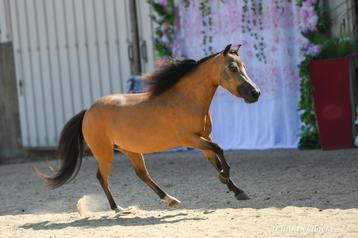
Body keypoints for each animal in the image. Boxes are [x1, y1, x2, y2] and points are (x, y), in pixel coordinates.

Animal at [36, 44, 260, 212]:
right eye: (233, 68)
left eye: (244, 66)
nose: (255, 93)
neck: (187, 100)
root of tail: (88, 111)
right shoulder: (191, 139)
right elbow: (220, 150)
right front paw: (224, 177)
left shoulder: (204, 138)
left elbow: (216, 159)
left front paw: (237, 189)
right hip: (105, 153)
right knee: (102, 177)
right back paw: (117, 208)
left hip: (130, 150)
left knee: (142, 175)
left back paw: (170, 199)